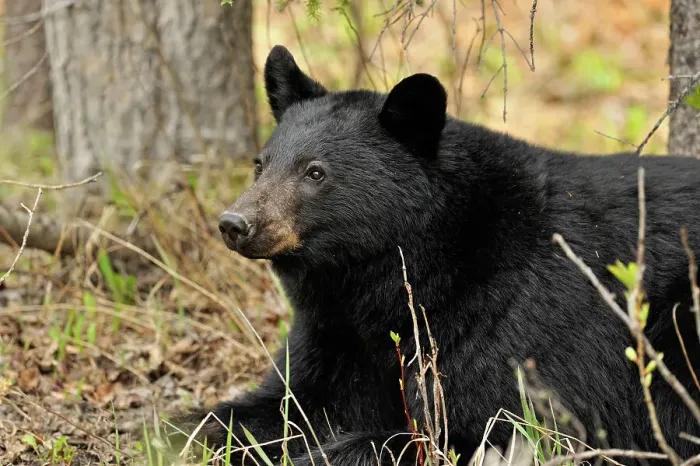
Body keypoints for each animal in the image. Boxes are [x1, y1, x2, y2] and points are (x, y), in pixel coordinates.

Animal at [170, 45, 700, 466]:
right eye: (260, 164)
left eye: (315, 172)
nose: (235, 223)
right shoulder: (334, 329)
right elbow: (288, 402)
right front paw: (185, 433)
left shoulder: (510, 320)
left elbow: (492, 424)